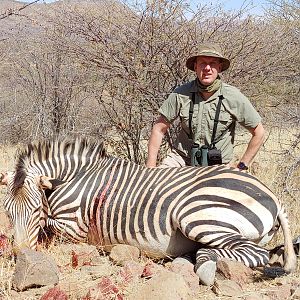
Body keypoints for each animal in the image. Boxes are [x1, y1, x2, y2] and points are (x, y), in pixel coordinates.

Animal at [0, 137, 296, 284]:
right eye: (8, 212)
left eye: (36, 209)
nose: (20, 254)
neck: (73, 178)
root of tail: (271, 193)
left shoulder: (74, 227)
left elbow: (49, 228)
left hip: (197, 215)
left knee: (253, 253)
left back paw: (205, 263)